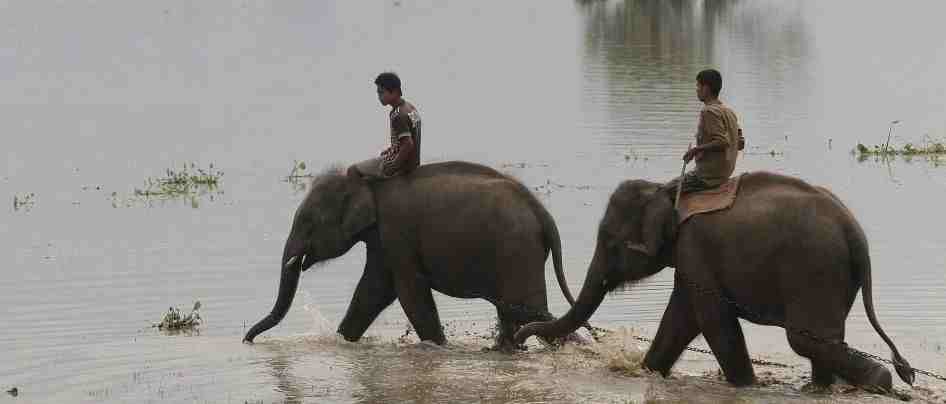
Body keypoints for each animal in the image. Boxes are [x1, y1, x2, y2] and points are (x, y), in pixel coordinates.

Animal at [243, 161, 576, 350]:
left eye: (309, 222)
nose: (247, 340)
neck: (366, 181)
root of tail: (543, 213)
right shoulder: (382, 240)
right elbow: (373, 291)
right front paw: (342, 340)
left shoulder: (397, 232)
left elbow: (408, 292)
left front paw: (438, 347)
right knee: (515, 311)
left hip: (517, 250)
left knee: (528, 308)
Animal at [516, 172, 916, 392]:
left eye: (611, 243)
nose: (520, 338)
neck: (668, 189)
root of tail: (855, 234)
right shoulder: (690, 262)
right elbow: (680, 318)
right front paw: (647, 371)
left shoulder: (696, 250)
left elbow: (711, 319)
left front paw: (747, 387)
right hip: (834, 276)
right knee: (822, 340)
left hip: (815, 270)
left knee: (805, 339)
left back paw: (879, 380)